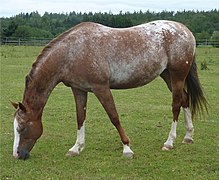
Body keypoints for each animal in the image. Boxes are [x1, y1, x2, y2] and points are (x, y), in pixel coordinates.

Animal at [11, 20, 207, 160]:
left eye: (22, 127)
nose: (17, 155)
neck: (72, 52)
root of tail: (185, 31)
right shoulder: (79, 90)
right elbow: (80, 118)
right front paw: (76, 148)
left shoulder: (101, 88)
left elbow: (114, 117)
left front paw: (127, 149)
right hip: (167, 76)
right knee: (185, 99)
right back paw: (188, 137)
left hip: (177, 76)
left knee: (176, 105)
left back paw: (169, 142)